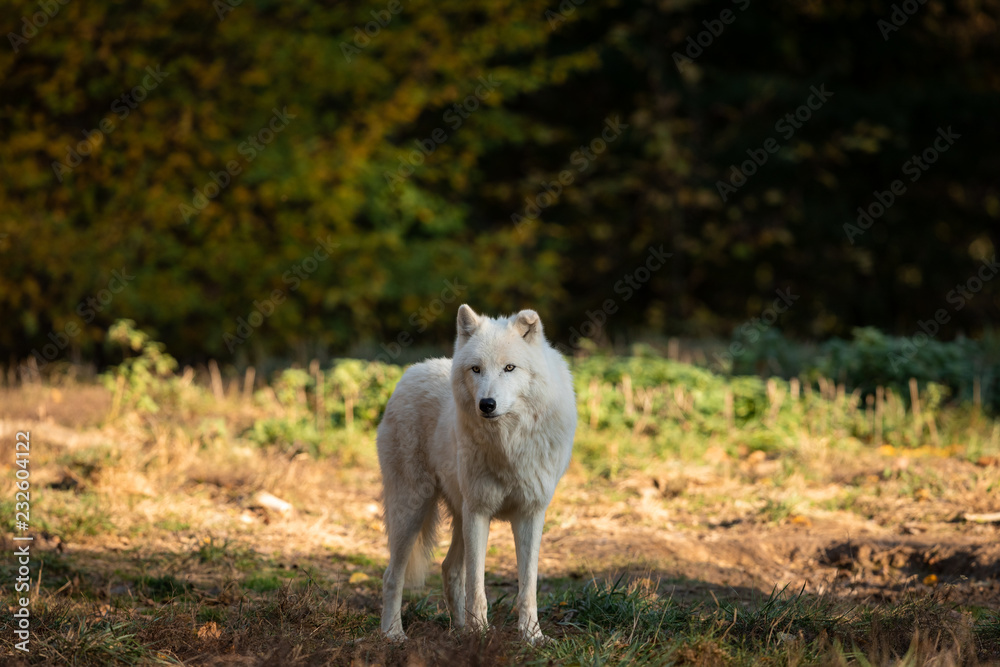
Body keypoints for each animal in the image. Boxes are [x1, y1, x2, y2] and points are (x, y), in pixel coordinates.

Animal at [376, 306, 580, 644]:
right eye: (476, 369)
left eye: (509, 368)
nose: (487, 404)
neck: (508, 444)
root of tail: (410, 371)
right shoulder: (479, 512)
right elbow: (477, 585)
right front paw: (480, 634)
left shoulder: (530, 513)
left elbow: (528, 587)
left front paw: (531, 636)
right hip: (413, 509)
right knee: (393, 575)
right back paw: (393, 634)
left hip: (457, 513)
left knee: (449, 569)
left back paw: (457, 629)